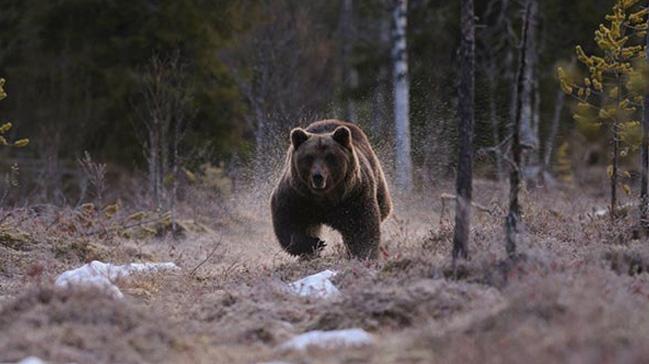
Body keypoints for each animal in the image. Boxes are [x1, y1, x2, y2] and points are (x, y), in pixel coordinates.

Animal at [268, 119, 390, 258]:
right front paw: (315, 243)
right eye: (309, 157)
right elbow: (287, 218)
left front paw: (363, 253)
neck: (325, 197)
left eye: (330, 157)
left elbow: (362, 224)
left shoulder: (353, 195)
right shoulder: (298, 195)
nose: (318, 176)